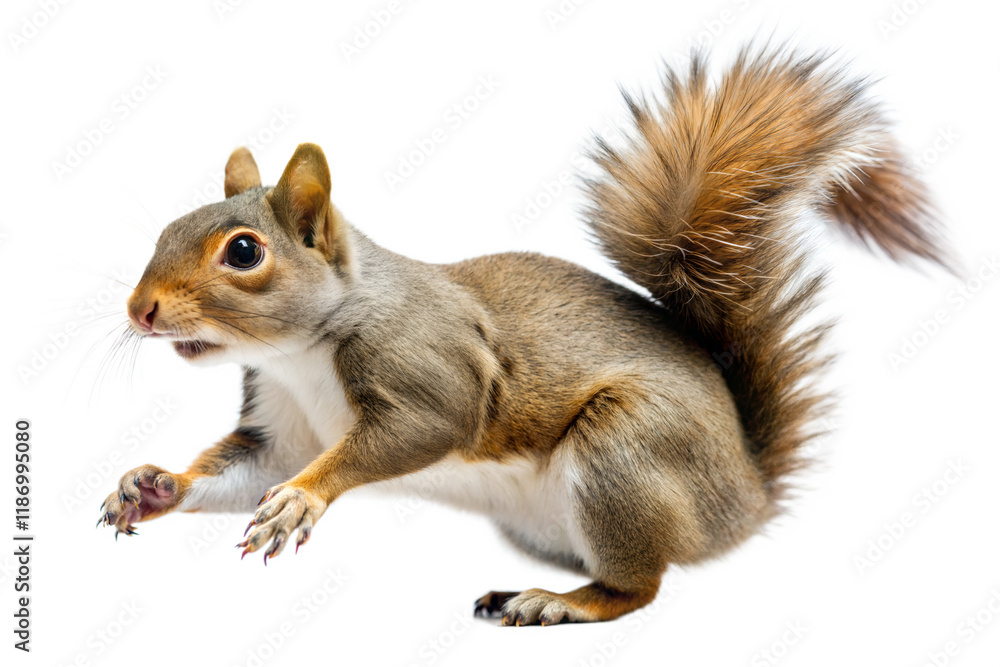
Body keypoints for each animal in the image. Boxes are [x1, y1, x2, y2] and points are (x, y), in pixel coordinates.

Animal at [99, 46, 948, 626]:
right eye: (169, 227)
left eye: (244, 252)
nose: (139, 310)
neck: (300, 355)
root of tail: (744, 495)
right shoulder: (280, 423)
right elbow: (248, 466)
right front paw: (153, 484)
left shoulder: (429, 367)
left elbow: (416, 429)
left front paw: (301, 502)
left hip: (625, 453)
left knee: (640, 585)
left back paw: (557, 602)